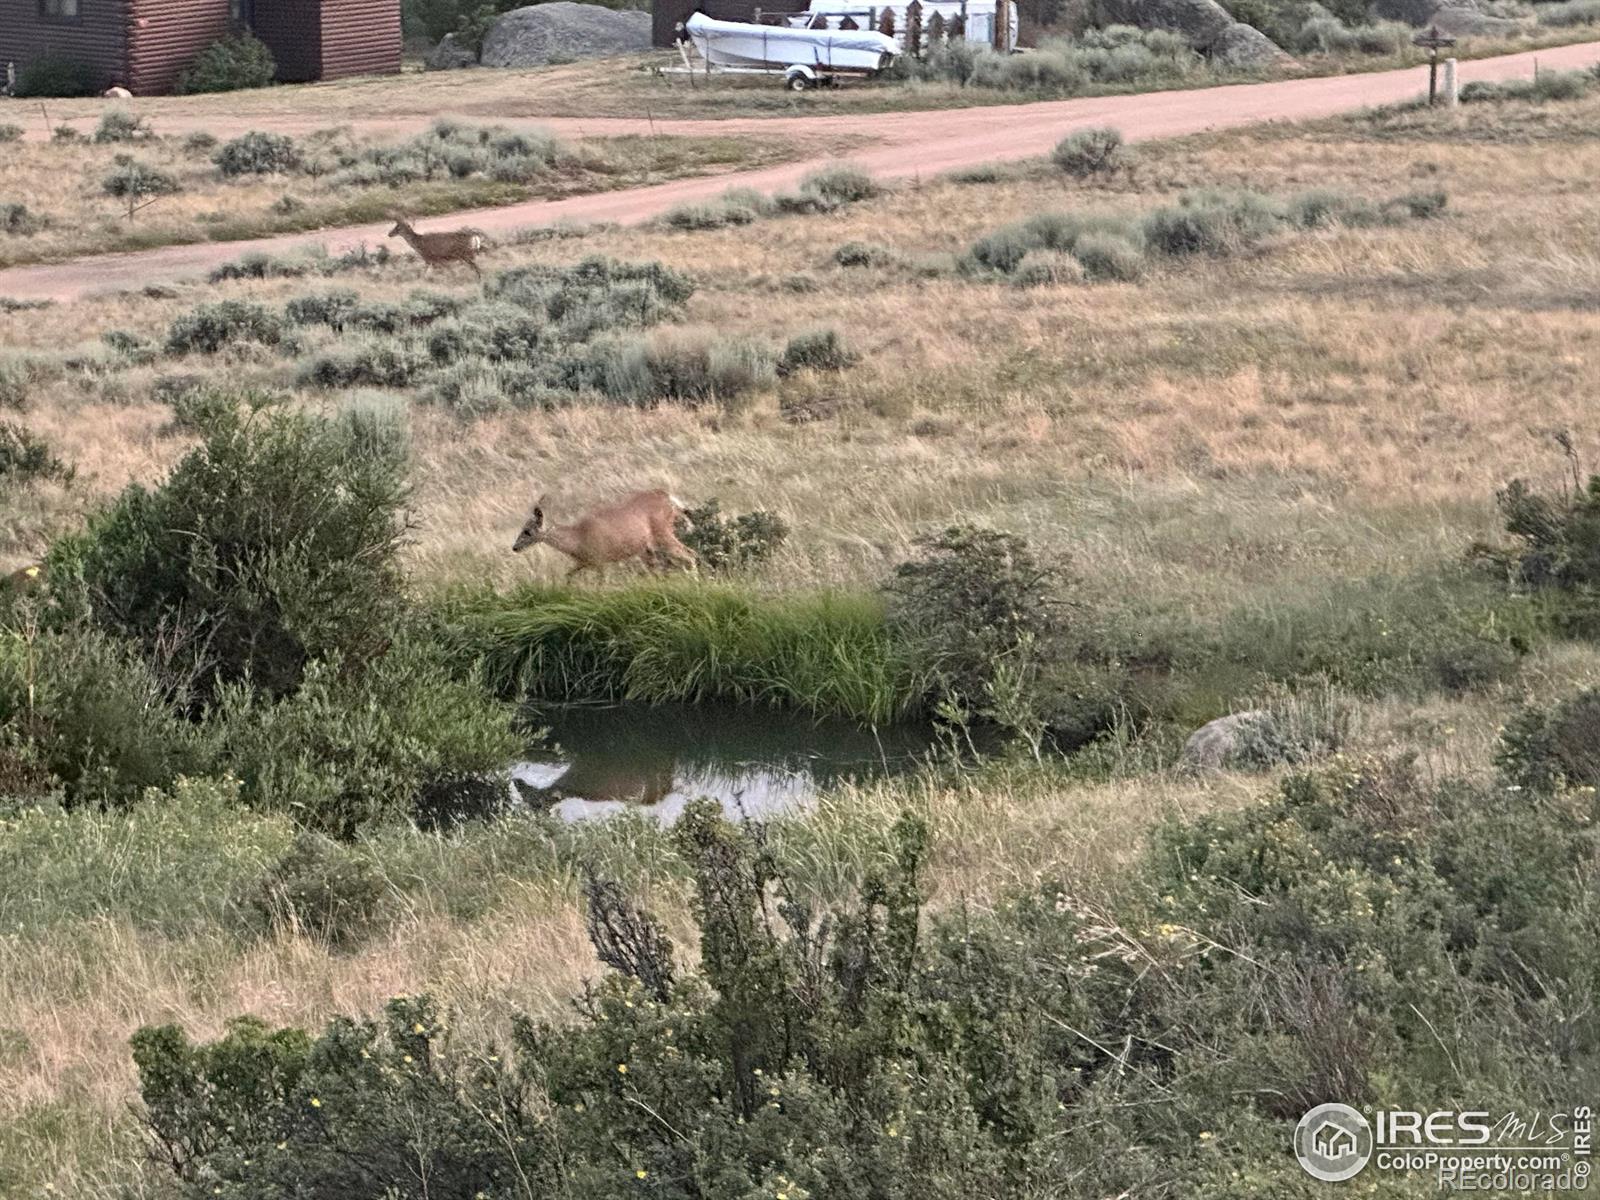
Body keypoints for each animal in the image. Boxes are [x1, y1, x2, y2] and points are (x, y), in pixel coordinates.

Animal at [515, 489, 697, 582]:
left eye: (527, 531)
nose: (514, 547)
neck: (578, 538)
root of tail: (667, 497)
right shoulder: (585, 563)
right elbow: (568, 577)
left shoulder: (601, 561)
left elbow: (601, 584)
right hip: (648, 549)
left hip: (663, 535)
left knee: (690, 554)